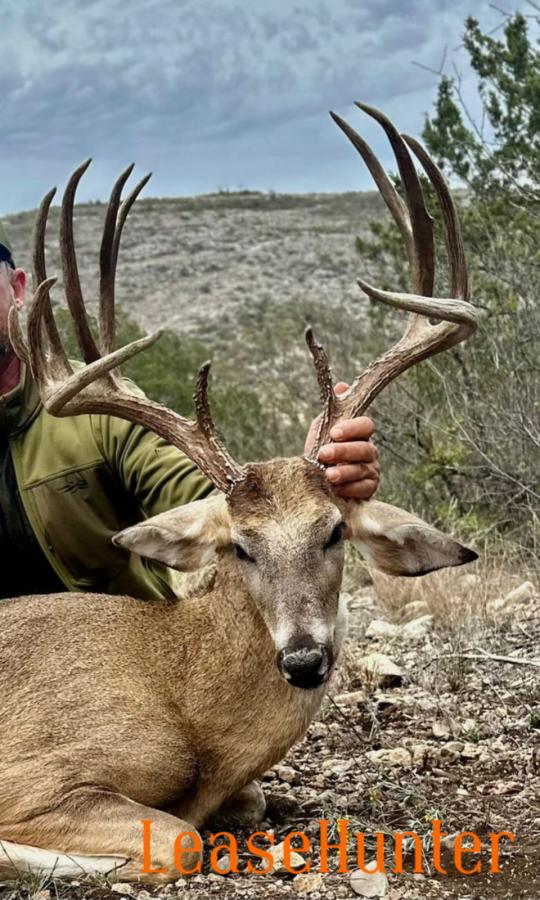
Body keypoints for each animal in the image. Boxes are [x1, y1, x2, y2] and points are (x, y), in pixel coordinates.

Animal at [0, 103, 479, 883]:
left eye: (334, 530)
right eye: (241, 546)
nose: (305, 659)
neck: (183, 697)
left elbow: (240, 807)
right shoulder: (34, 768)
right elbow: (179, 837)